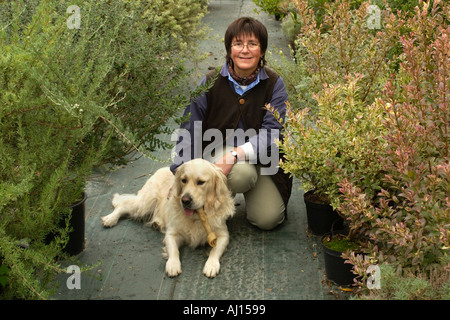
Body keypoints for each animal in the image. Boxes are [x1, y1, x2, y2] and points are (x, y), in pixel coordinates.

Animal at [101, 159, 234, 278]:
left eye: (201, 182)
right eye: (183, 180)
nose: (185, 200)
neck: (197, 217)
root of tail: (161, 169)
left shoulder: (223, 235)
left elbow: (215, 250)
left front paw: (211, 265)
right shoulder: (172, 234)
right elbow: (174, 249)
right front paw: (173, 265)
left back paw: (156, 223)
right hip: (146, 202)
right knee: (123, 204)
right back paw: (110, 219)